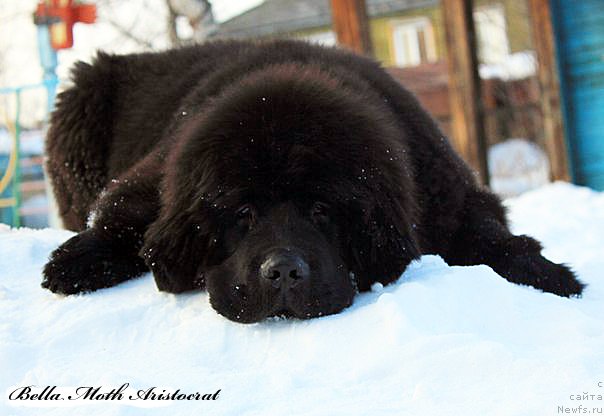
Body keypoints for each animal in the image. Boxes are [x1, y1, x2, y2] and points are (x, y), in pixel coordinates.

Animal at [41, 39, 580, 322]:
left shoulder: (450, 196)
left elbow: (492, 235)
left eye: (323, 210)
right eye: (242, 212)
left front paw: (550, 276)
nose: (282, 271)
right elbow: (124, 217)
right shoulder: (157, 173)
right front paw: (76, 264)